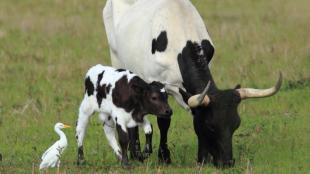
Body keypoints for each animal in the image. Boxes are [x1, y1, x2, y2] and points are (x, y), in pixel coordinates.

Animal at [102, 0, 284, 169]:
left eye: (236, 124)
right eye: (211, 126)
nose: (227, 162)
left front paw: (203, 158)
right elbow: (164, 121)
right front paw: (164, 157)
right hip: (118, 60)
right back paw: (136, 154)